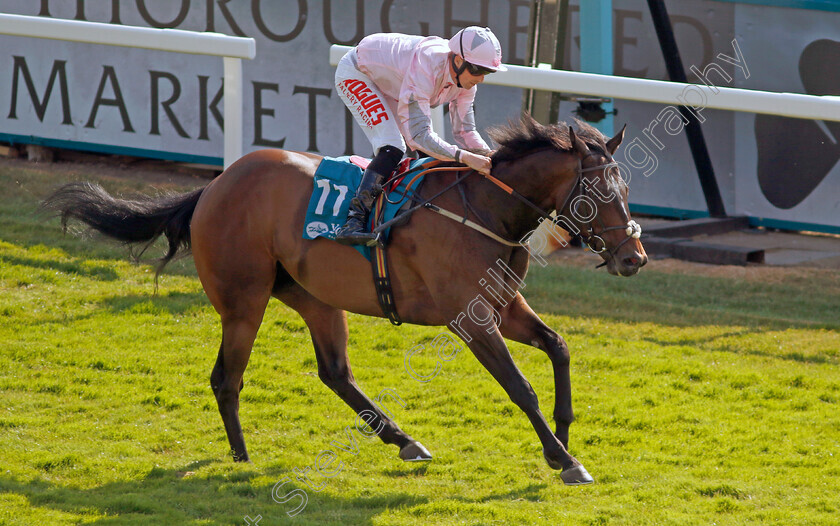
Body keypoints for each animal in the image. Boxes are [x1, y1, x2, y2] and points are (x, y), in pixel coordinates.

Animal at [44, 115, 648, 486]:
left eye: (626, 189)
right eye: (599, 192)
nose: (634, 257)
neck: (485, 210)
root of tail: (213, 184)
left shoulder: (502, 307)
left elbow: (559, 346)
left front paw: (564, 435)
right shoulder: (470, 320)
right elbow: (520, 386)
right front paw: (564, 459)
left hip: (315, 297)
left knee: (334, 372)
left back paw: (405, 440)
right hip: (244, 302)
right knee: (226, 378)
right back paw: (241, 457)